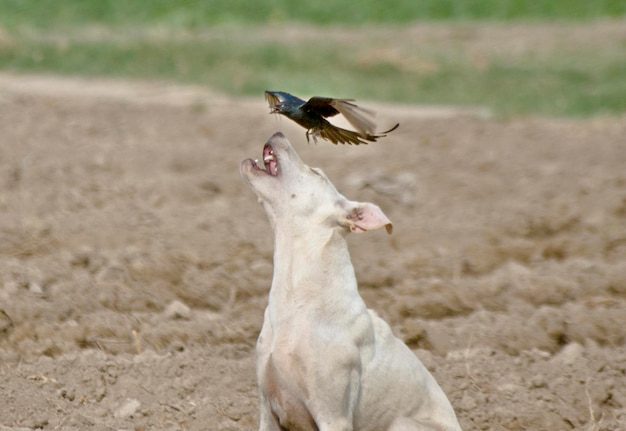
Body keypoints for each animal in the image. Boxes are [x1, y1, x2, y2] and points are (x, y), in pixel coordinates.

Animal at [239, 132, 458, 431]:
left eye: (316, 172)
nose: (278, 133)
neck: (296, 298)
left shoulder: (334, 416)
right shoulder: (267, 408)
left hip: (402, 424)